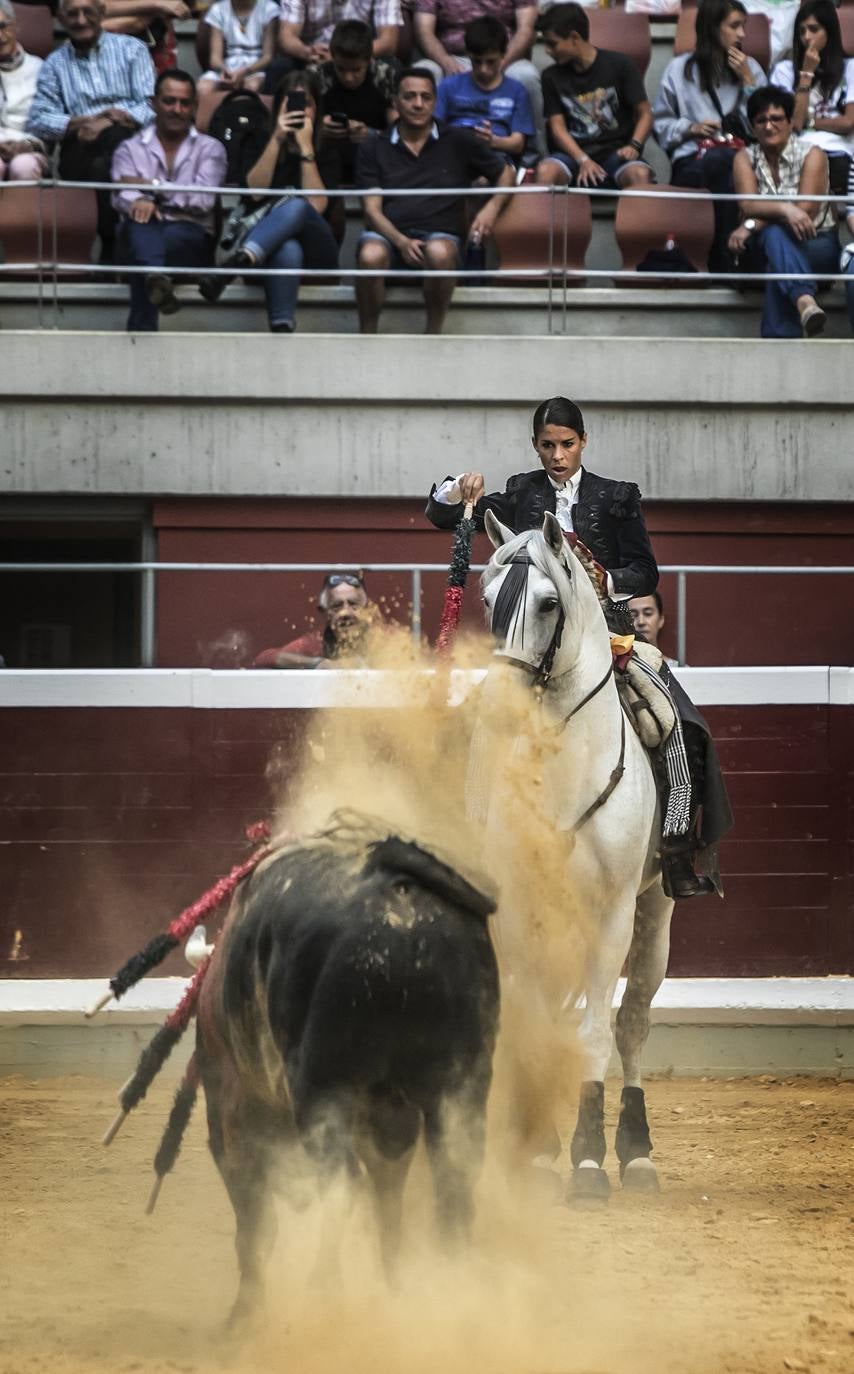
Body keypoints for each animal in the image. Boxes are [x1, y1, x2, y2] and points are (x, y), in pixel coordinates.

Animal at [196, 824, 502, 1319]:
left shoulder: (232, 1107)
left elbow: (254, 1222)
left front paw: (246, 1311)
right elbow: (388, 1195)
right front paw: (395, 1279)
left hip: (322, 1091)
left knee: (341, 1182)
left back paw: (326, 1288)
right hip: (461, 1090)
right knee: (453, 1183)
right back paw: (447, 1285)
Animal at [483, 511, 675, 1198]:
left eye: (547, 602)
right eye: (486, 598)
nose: (504, 703)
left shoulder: (612, 913)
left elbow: (596, 1029)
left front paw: (588, 1161)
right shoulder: (521, 910)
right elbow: (539, 1016)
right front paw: (541, 1149)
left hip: (656, 910)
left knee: (632, 1021)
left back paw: (637, 1154)